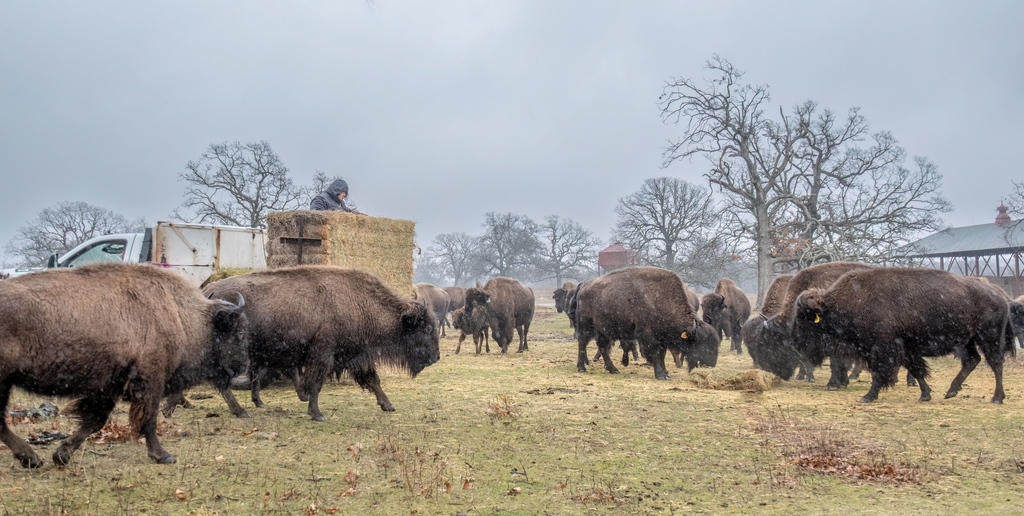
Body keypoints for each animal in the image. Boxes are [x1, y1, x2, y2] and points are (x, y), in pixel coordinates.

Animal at [0, 263, 247, 467]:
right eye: (237, 333)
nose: (241, 367)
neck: (183, 317)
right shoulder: (149, 381)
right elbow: (148, 419)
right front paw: (162, 456)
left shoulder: (108, 386)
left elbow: (95, 421)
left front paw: (62, 454)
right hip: (4, 381)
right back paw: (30, 458)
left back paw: (31, 458)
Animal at [200, 266, 440, 421]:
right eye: (427, 328)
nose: (436, 357)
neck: (360, 303)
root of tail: (206, 290)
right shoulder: (324, 355)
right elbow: (316, 383)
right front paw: (317, 414)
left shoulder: (355, 355)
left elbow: (373, 379)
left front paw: (388, 405)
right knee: (224, 382)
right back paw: (240, 411)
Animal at [795, 267, 1015, 403]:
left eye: (805, 317)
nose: (797, 342)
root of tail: (999, 294)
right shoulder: (905, 348)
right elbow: (916, 369)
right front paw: (925, 395)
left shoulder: (882, 348)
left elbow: (880, 373)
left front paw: (868, 396)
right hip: (967, 341)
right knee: (972, 360)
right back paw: (951, 391)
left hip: (989, 337)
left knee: (996, 364)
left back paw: (997, 398)